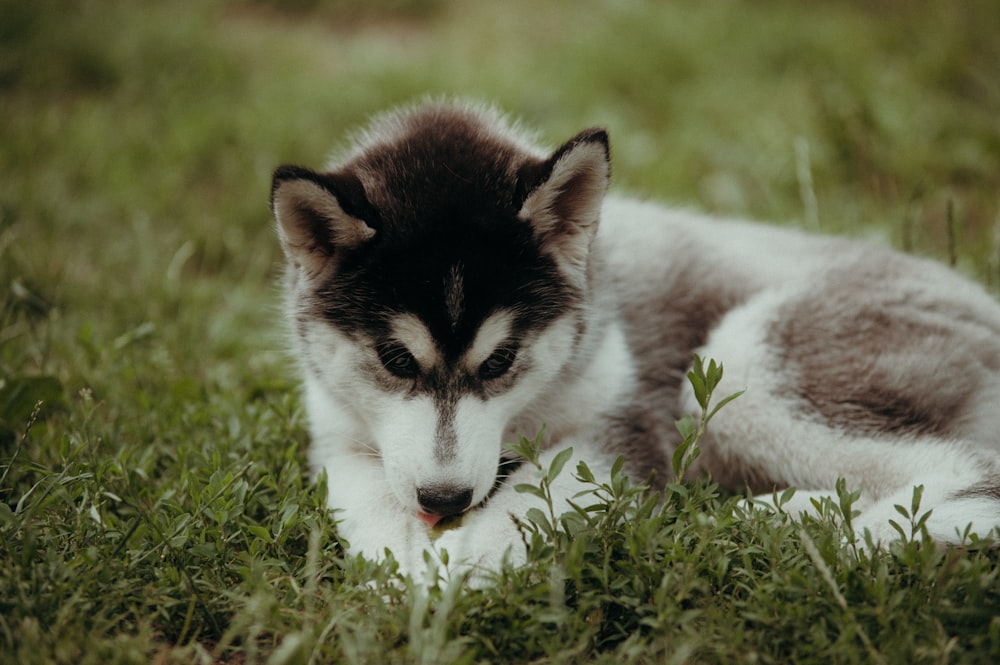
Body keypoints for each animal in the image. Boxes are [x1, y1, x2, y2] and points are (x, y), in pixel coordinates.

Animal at [268, 98, 1000, 576]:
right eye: (395, 359)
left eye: (501, 360)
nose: (445, 502)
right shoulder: (340, 433)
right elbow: (365, 502)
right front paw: (408, 573)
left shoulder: (621, 423)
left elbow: (534, 501)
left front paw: (467, 564)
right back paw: (768, 517)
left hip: (743, 366)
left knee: (970, 469)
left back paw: (833, 539)